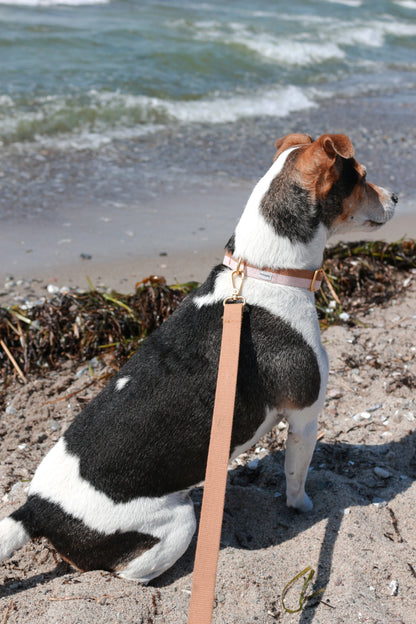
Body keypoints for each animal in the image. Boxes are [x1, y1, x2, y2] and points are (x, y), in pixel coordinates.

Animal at [0, 134, 396, 584]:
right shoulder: (304, 418)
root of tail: (38, 511)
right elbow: (296, 480)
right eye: (362, 177)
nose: (397, 196)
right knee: (130, 573)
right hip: (177, 523)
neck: (264, 270)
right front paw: (304, 508)